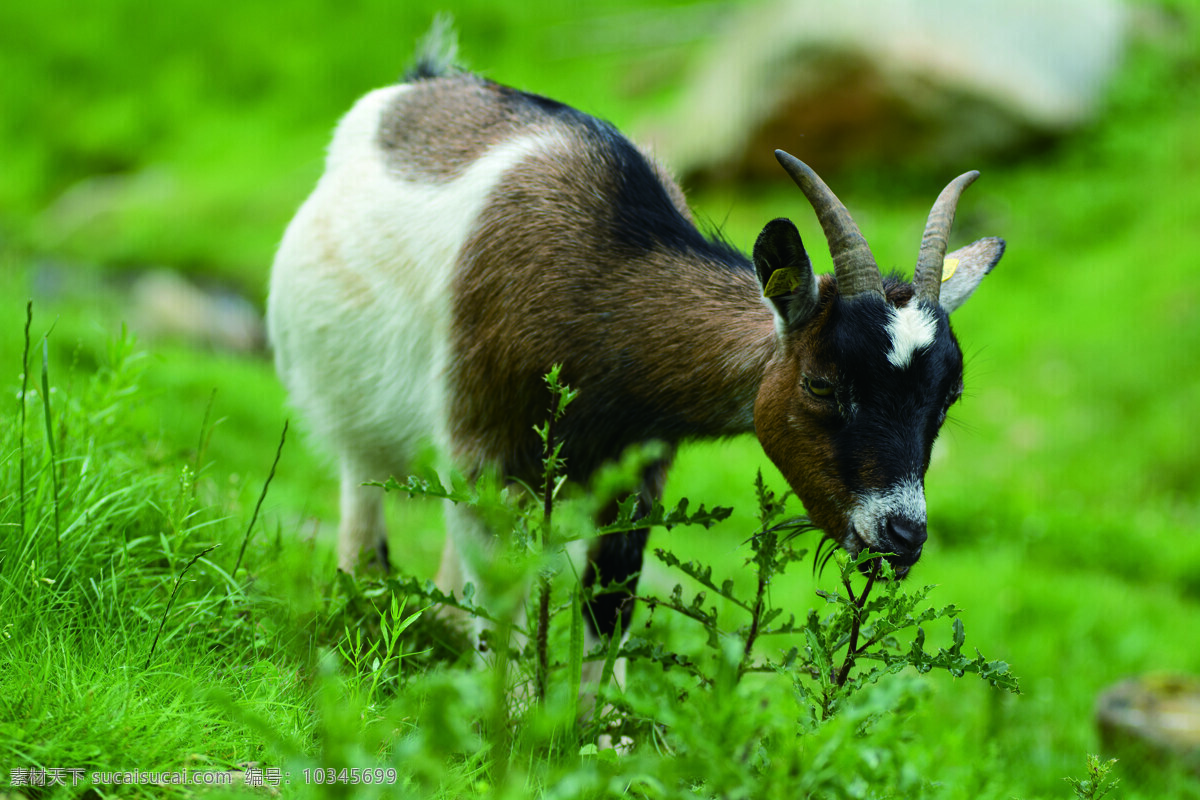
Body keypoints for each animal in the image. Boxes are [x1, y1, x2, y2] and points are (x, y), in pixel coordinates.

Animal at [265, 43, 1003, 647]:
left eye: (949, 396)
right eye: (822, 383)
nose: (902, 535)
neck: (600, 293)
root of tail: (420, 83)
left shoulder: (637, 472)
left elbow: (607, 605)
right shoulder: (485, 447)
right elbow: (506, 607)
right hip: (351, 414)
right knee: (365, 511)